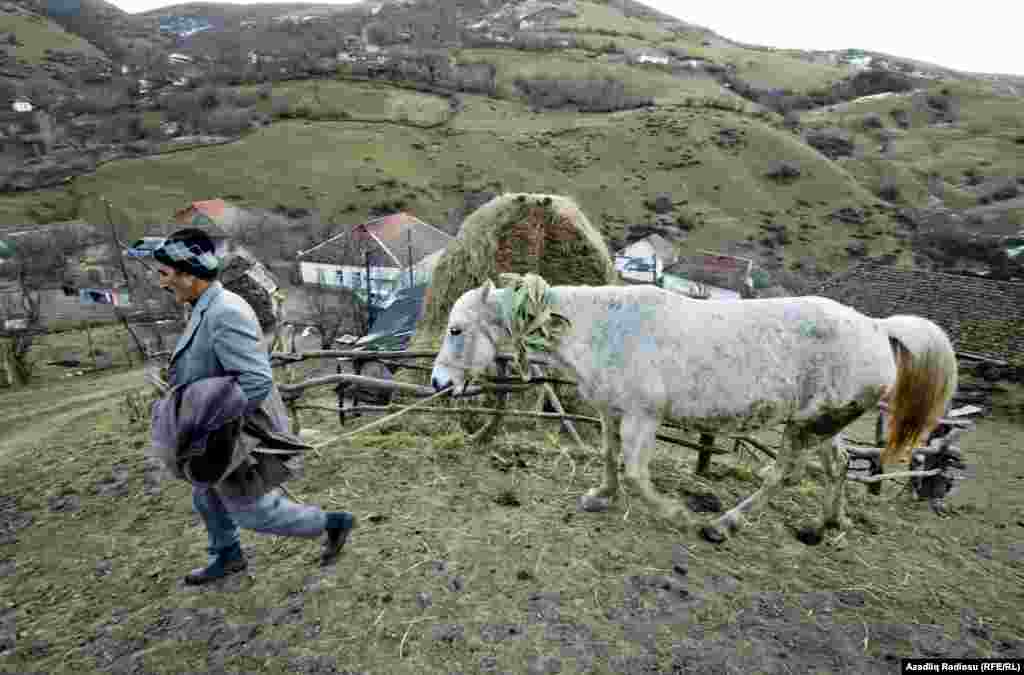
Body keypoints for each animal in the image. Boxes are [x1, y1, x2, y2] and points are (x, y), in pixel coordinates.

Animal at [428, 278, 954, 544]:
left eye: (456, 330)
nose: (438, 383)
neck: (605, 327)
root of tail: (877, 326)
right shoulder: (611, 412)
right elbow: (609, 457)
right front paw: (601, 495)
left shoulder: (644, 417)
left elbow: (637, 472)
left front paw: (676, 514)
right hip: (822, 423)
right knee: (839, 464)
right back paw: (830, 524)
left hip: (805, 427)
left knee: (782, 474)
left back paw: (722, 524)